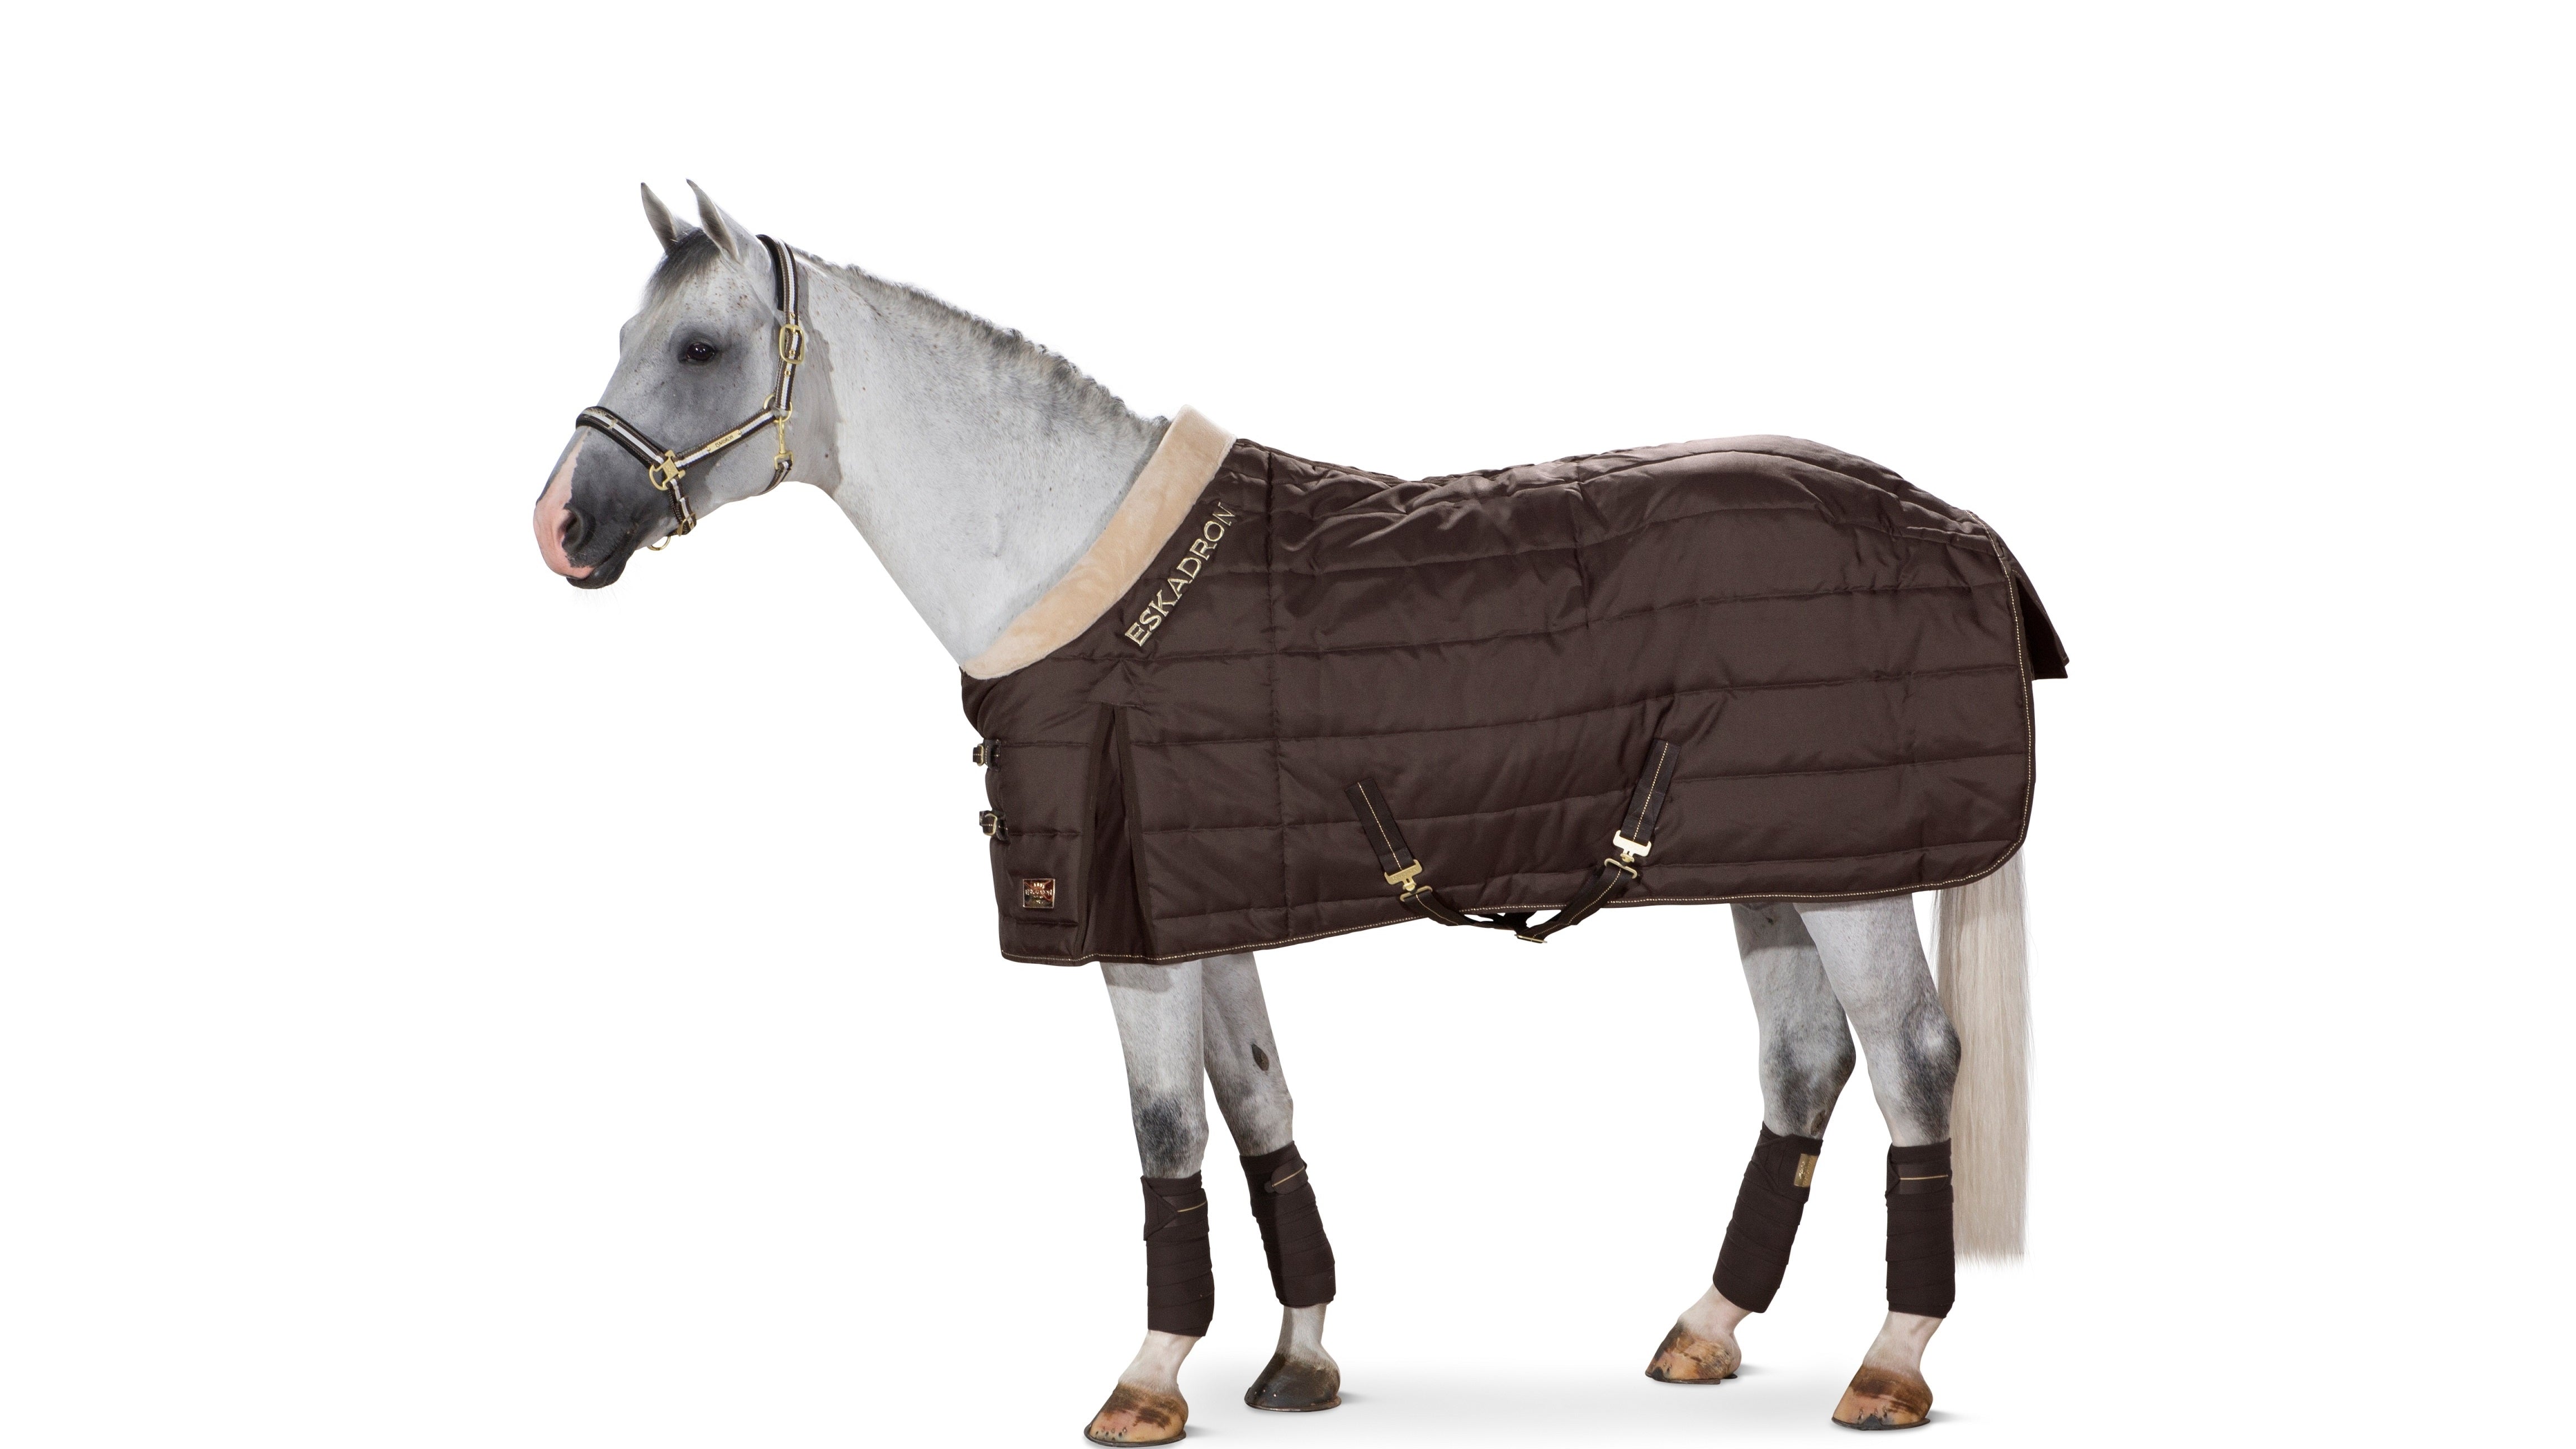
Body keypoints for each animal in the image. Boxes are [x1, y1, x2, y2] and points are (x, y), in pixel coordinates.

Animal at [533, 182, 2037, 1440]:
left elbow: (1167, 1131)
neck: (1072, 564)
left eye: (702, 350)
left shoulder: (1134, 931)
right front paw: (1300, 1357)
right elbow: (1258, 1102)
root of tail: (1958, 526)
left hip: (1854, 881)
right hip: (1783, 861)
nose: (562, 527)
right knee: (1804, 1063)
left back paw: (1890, 1365)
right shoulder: (1204, 904)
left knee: (1910, 1064)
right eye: (624, 332)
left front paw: (1147, 1381)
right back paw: (1706, 1330)